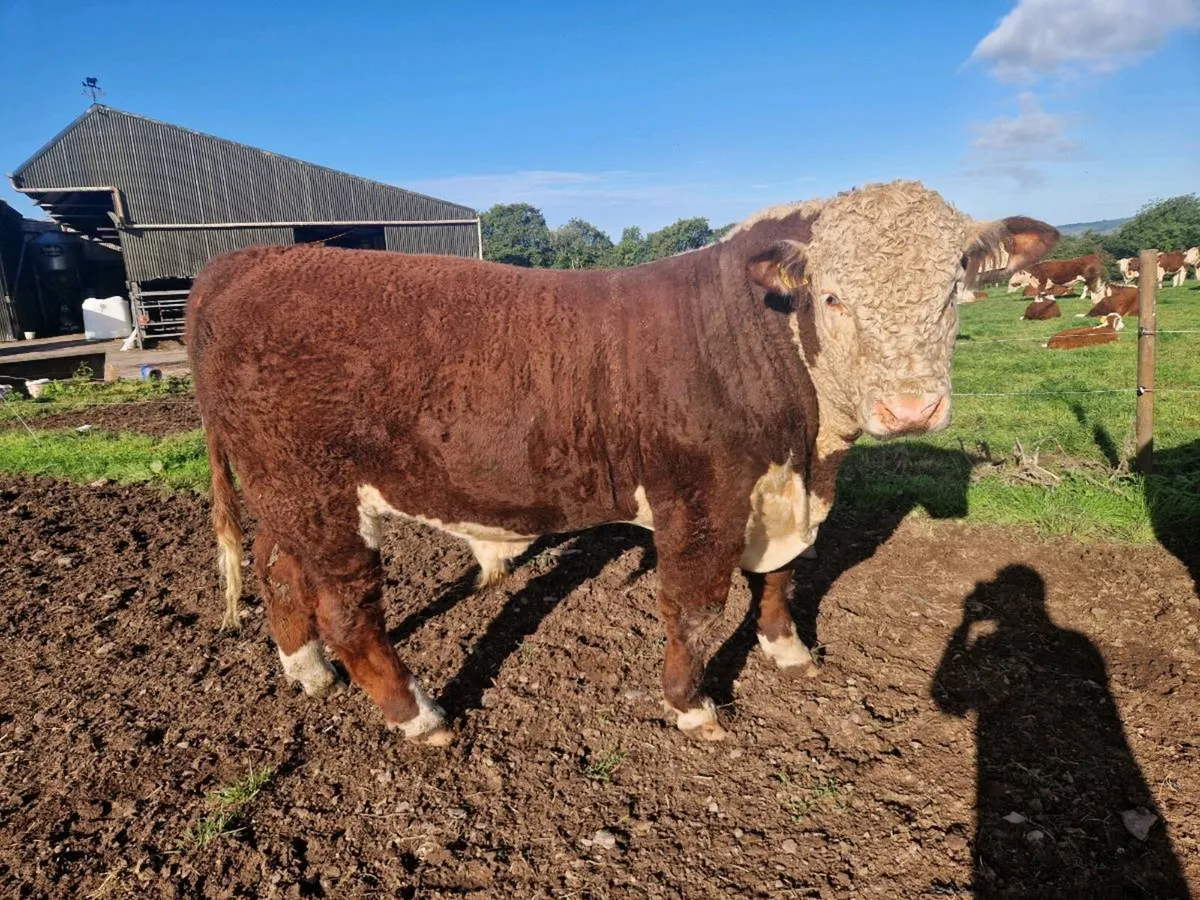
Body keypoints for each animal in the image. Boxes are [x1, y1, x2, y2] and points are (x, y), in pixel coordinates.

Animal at [187, 180, 1057, 747]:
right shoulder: (701, 499)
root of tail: (249, 260)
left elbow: (782, 575)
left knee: (278, 570)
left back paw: (305, 671)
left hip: (285, 495)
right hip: (320, 494)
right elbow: (694, 605)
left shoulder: (785, 493)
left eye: (953, 287)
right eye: (833, 296)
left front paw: (788, 651)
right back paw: (420, 717)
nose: (911, 409)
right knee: (348, 609)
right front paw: (690, 705)